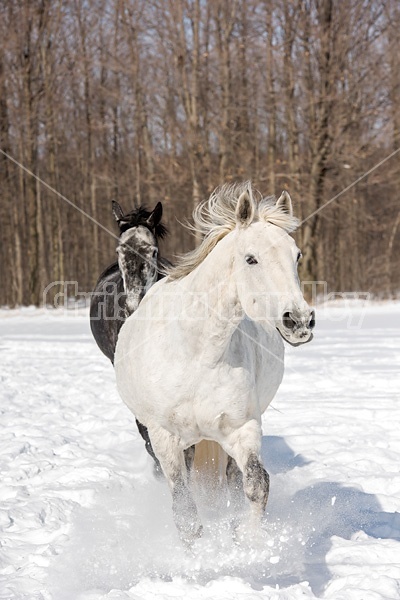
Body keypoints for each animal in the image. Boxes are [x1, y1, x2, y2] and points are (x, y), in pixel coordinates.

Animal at [114, 182, 314, 544]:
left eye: (297, 255)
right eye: (251, 258)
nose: (299, 321)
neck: (198, 354)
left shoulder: (241, 427)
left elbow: (257, 485)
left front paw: (247, 543)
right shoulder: (164, 438)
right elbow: (184, 511)